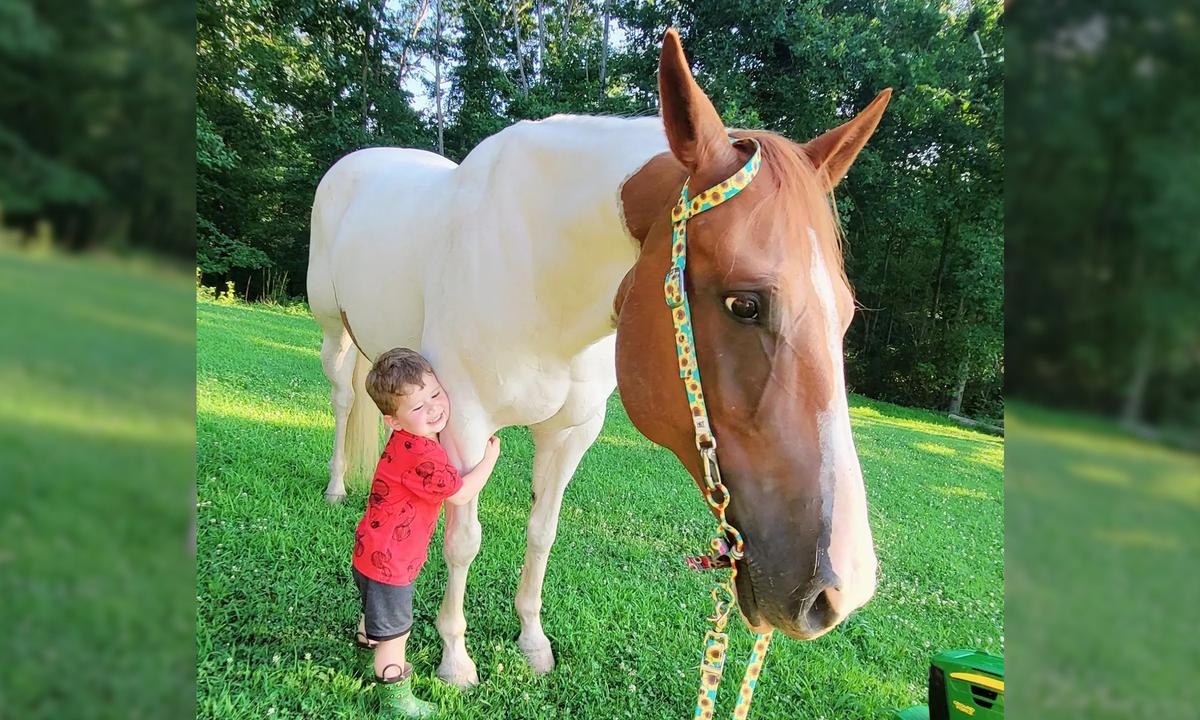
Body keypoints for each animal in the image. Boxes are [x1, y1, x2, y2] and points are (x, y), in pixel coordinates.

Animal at [307, 29, 890, 688]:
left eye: (844, 312)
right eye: (744, 303)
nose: (841, 589)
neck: (542, 274)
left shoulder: (572, 432)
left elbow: (542, 531)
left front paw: (532, 642)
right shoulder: (463, 422)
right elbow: (464, 538)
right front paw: (456, 656)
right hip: (334, 334)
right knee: (343, 400)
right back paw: (337, 488)